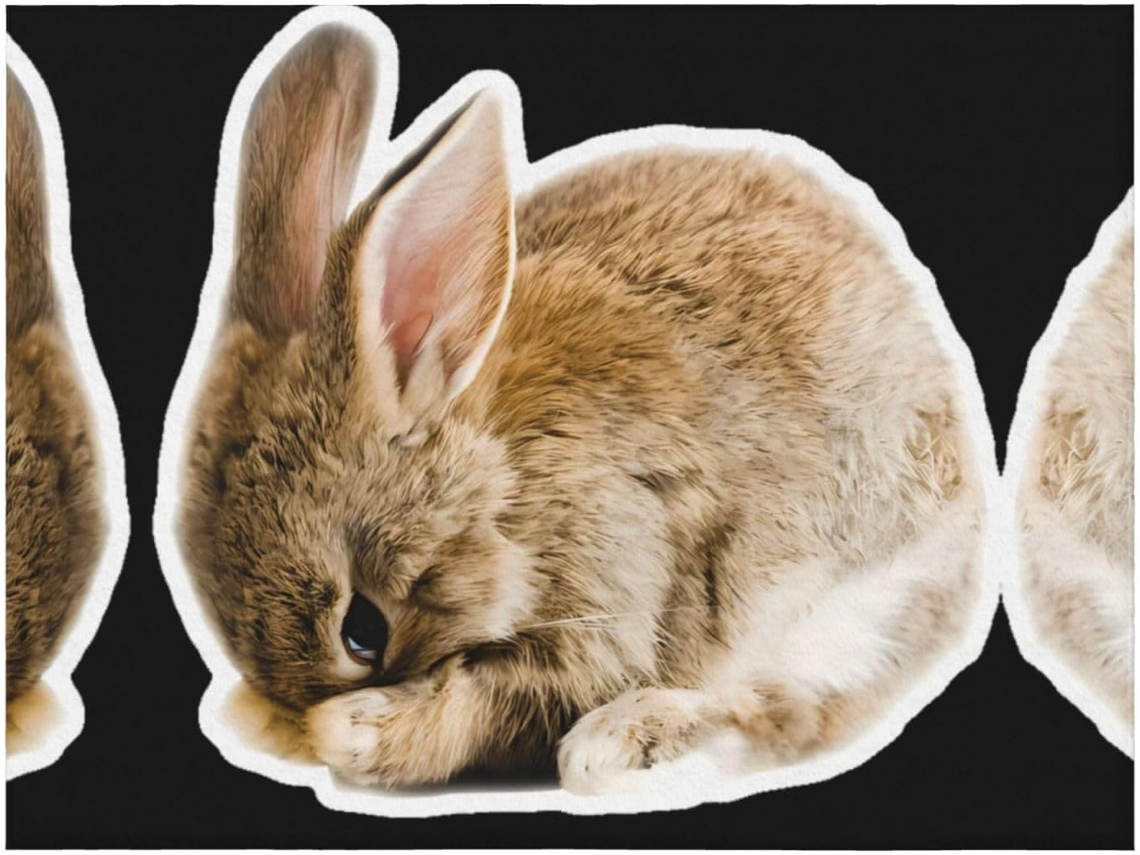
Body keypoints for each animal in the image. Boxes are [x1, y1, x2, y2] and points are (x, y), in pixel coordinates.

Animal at [178, 23, 987, 794]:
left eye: (363, 631)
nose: (295, 710)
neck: (504, 476)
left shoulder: (610, 579)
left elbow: (494, 706)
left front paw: (350, 730)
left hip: (856, 598)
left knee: (789, 706)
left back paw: (625, 747)